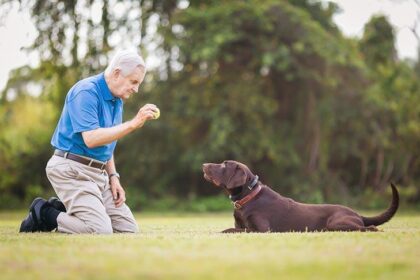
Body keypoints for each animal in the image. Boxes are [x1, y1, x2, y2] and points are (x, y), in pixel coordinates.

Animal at [203, 160, 400, 232]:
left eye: (224, 165)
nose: (204, 165)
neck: (248, 197)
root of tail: (357, 214)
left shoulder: (262, 230)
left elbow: (231, 230)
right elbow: (234, 228)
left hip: (337, 223)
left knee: (370, 227)